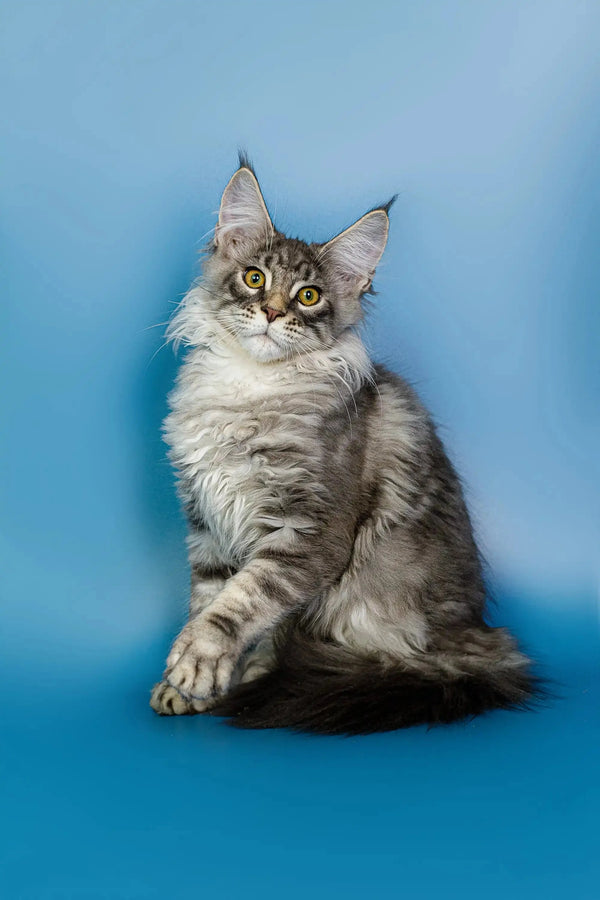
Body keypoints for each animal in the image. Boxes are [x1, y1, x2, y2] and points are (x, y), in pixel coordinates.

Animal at [150, 153, 540, 732]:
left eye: (308, 297)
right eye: (254, 278)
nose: (271, 312)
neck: (251, 388)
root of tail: (480, 641)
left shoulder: (308, 532)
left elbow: (240, 603)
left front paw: (199, 662)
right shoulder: (208, 524)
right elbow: (210, 595)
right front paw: (192, 688)